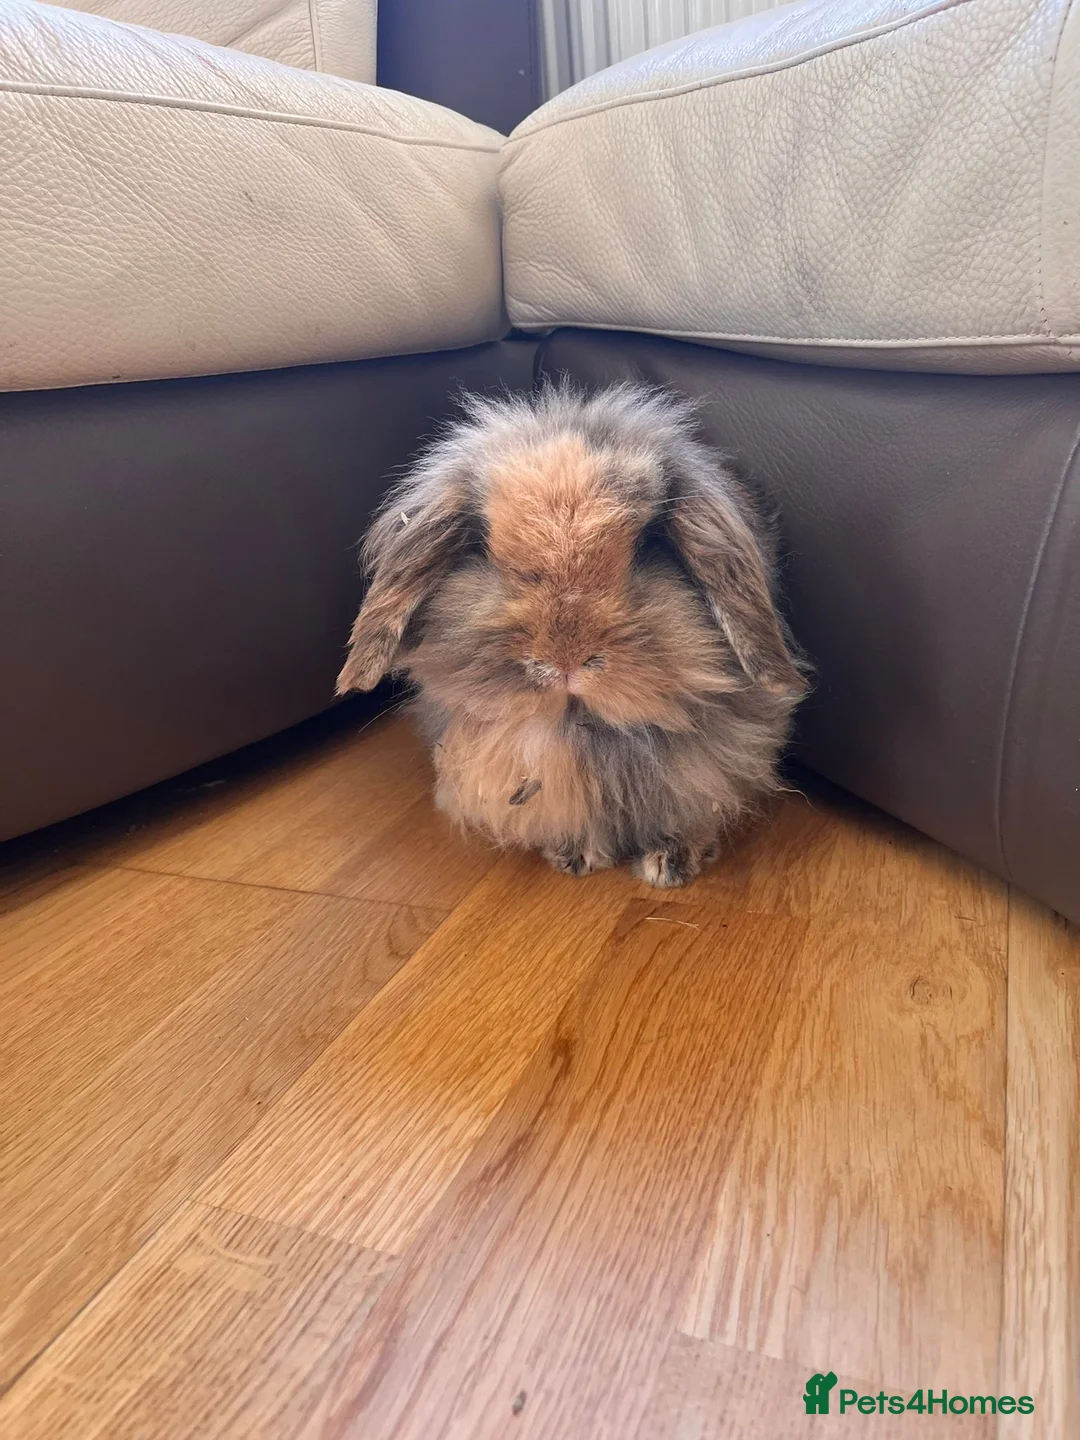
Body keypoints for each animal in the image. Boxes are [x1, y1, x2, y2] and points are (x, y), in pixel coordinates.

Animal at [336, 382, 808, 887]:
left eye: (648, 545)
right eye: (482, 547)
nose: (565, 659)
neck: (582, 725)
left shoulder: (706, 771)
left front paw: (670, 866)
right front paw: (574, 855)